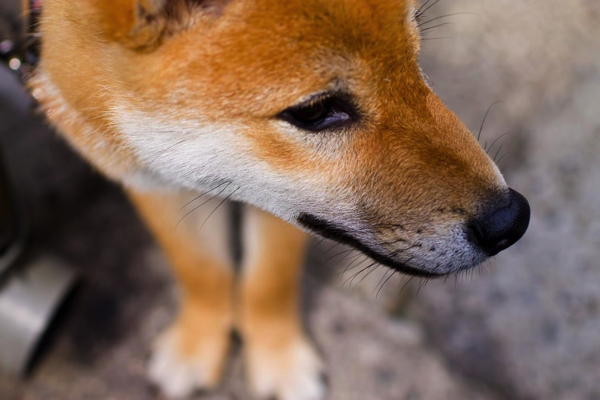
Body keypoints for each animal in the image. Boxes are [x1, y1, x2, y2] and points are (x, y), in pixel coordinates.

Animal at [30, 0, 528, 400]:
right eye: (314, 110)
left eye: (414, 52)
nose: (511, 219)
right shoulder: (149, 178)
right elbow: (201, 271)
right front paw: (199, 344)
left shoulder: (282, 206)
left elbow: (269, 282)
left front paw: (278, 360)